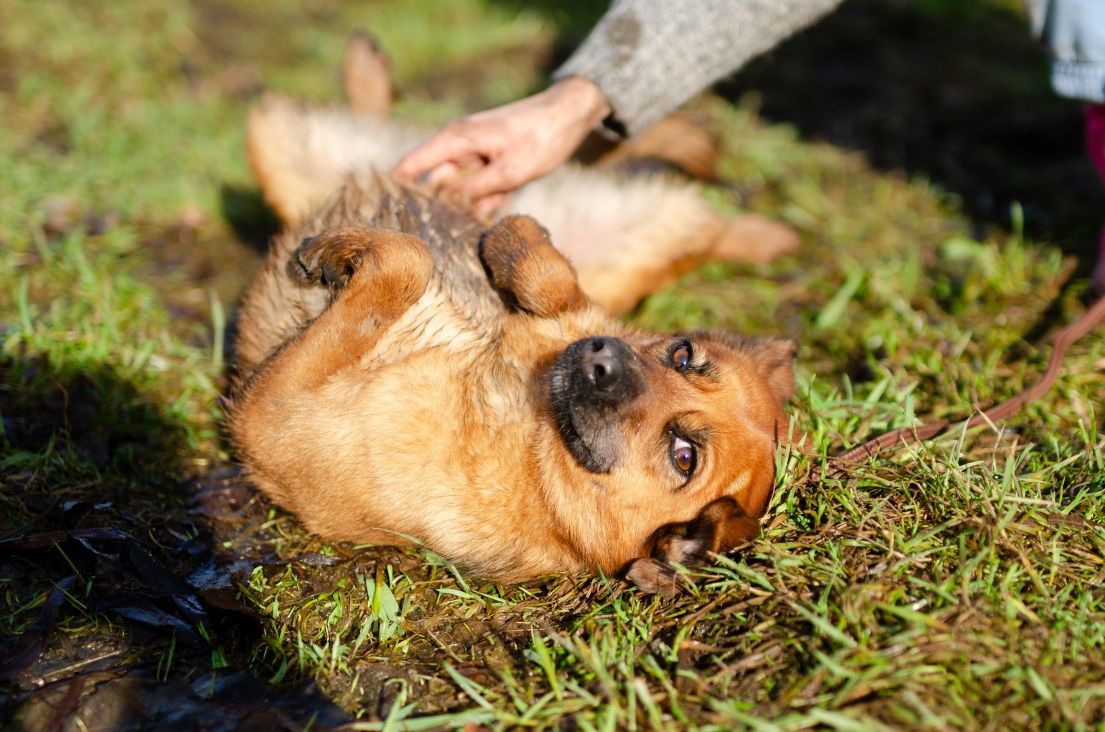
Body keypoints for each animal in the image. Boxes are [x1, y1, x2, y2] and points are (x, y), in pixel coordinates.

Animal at [228, 38, 800, 592]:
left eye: (685, 457)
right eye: (683, 355)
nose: (600, 356)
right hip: (278, 139)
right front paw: (510, 242)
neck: (523, 409)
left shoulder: (271, 412)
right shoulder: (574, 310)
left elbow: (408, 260)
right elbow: (539, 273)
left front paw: (330, 254)